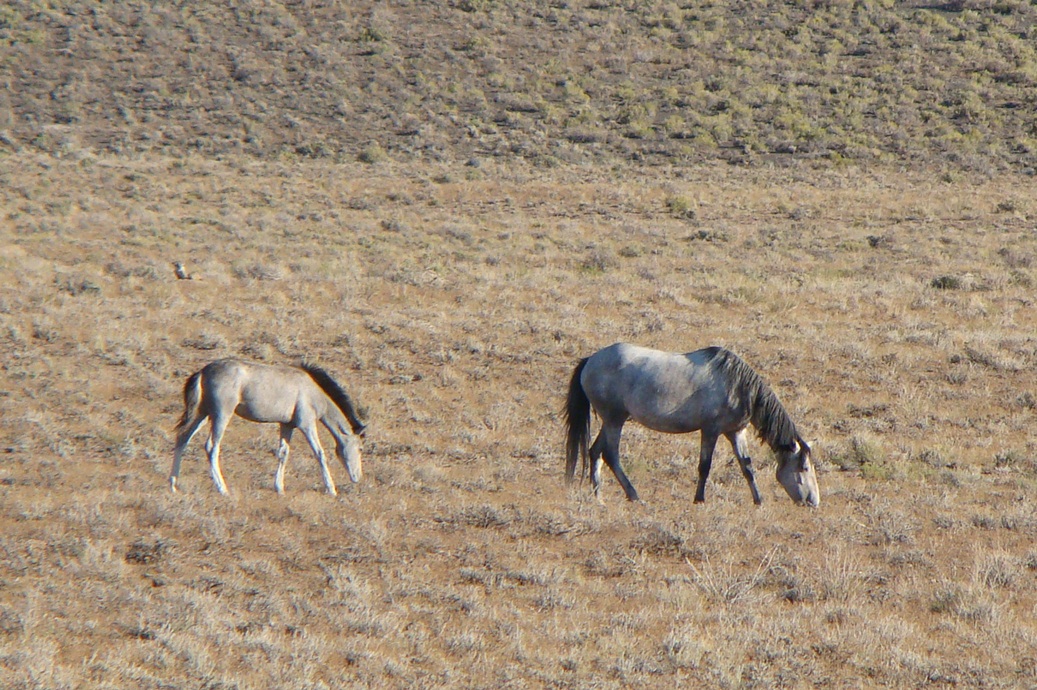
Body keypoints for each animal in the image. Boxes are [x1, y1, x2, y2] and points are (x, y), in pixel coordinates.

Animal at [170, 359, 366, 496]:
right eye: (360, 448)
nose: (357, 478)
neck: (313, 390)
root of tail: (202, 372)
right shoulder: (307, 424)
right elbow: (320, 454)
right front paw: (331, 489)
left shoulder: (287, 425)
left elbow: (283, 454)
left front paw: (279, 488)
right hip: (221, 415)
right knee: (211, 447)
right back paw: (222, 489)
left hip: (202, 414)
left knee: (182, 439)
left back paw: (173, 485)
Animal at [564, 343, 819, 507]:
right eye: (804, 468)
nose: (814, 502)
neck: (736, 385)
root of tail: (590, 360)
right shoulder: (710, 431)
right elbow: (704, 466)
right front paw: (699, 499)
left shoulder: (736, 433)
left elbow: (746, 466)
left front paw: (759, 500)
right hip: (614, 421)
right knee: (611, 455)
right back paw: (634, 495)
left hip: (611, 421)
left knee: (595, 452)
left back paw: (599, 497)